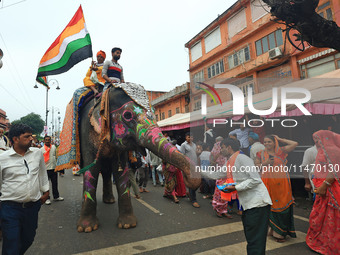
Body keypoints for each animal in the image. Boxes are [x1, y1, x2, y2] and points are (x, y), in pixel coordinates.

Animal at [75, 82, 201, 232]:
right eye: (127, 115)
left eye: (154, 113)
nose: (188, 178)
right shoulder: (86, 132)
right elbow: (92, 171)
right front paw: (86, 228)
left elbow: (121, 171)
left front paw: (127, 225)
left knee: (106, 172)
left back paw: (110, 200)